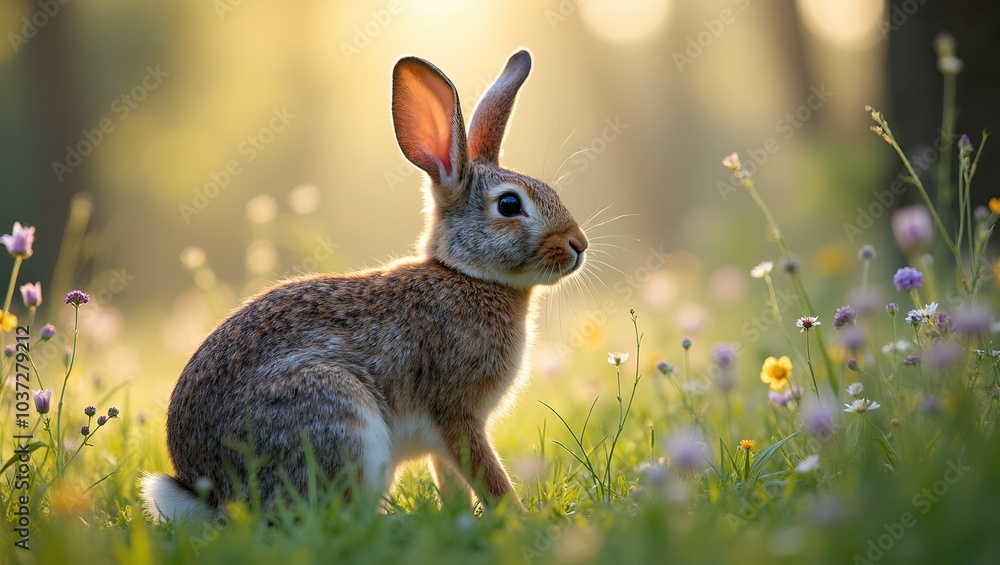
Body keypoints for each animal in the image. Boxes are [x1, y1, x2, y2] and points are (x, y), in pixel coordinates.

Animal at [140, 48, 588, 520]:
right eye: (509, 205)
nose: (579, 244)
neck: (467, 275)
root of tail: (213, 493)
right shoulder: (457, 414)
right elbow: (487, 474)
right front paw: (520, 520)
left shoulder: (445, 435)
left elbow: (451, 478)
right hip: (339, 413)